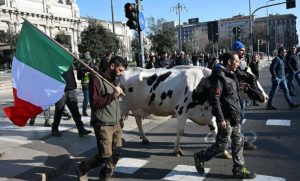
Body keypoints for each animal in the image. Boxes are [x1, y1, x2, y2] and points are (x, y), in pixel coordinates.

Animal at [119, 66, 268, 156]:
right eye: (252, 79)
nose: (265, 97)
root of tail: (127, 70)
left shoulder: (209, 114)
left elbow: (216, 131)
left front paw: (224, 152)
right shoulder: (181, 110)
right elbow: (180, 131)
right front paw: (176, 150)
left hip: (139, 107)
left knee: (138, 119)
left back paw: (144, 138)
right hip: (123, 105)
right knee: (119, 122)